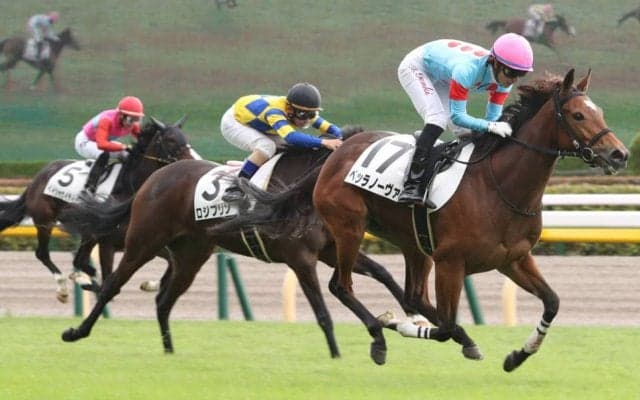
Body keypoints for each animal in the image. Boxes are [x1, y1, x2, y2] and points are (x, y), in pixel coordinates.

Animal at [0, 117, 193, 303]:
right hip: (45, 220)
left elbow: (170, 263)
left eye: (185, 138)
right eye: (170, 139)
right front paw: (88, 282)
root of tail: (38, 177)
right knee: (44, 254)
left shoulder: (142, 241)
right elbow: (107, 282)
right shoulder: (108, 243)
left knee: (79, 259)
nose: (191, 161)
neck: (128, 186)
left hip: (86, 232)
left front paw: (151, 284)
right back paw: (64, 287)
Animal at [58, 129, 412, 358]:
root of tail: (153, 180)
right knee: (112, 286)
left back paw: (169, 349)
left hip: (191, 254)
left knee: (164, 300)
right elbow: (322, 311)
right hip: (143, 241)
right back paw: (76, 332)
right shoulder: (300, 258)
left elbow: (382, 272)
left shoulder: (327, 249)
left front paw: (409, 314)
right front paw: (338, 353)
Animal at [212, 69, 629, 369]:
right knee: (341, 286)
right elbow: (444, 324)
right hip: (349, 228)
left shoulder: (513, 258)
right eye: (578, 114)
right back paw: (381, 335)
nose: (620, 154)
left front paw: (516, 356)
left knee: (413, 294)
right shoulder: (451, 262)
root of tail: (336, 152)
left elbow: (552, 303)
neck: (499, 186)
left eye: (600, 112)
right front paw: (397, 323)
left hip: (413, 242)